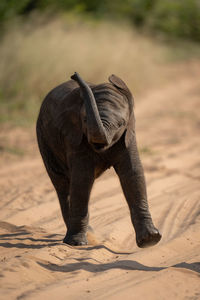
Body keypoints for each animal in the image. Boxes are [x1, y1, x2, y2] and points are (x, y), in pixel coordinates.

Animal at [36, 71, 161, 247]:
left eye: (121, 124)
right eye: (85, 120)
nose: (74, 74)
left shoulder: (128, 134)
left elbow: (132, 173)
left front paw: (150, 240)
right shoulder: (74, 136)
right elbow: (82, 179)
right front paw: (77, 243)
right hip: (43, 138)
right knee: (62, 184)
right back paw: (82, 236)